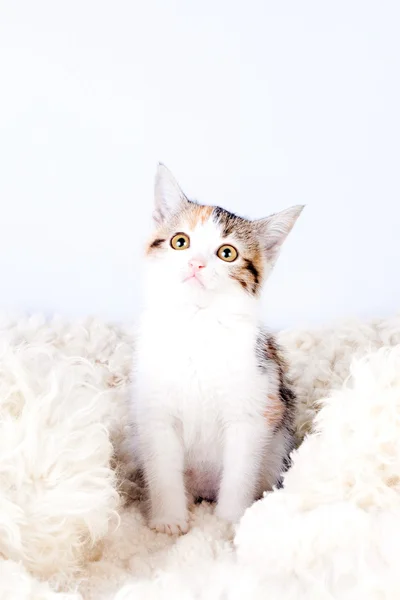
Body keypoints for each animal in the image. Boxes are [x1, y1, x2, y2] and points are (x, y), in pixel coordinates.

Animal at [131, 163, 304, 536]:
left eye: (227, 253)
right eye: (180, 241)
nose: (196, 263)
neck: (199, 323)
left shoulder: (253, 407)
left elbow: (240, 470)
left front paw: (228, 523)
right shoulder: (155, 411)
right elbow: (163, 466)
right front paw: (169, 521)